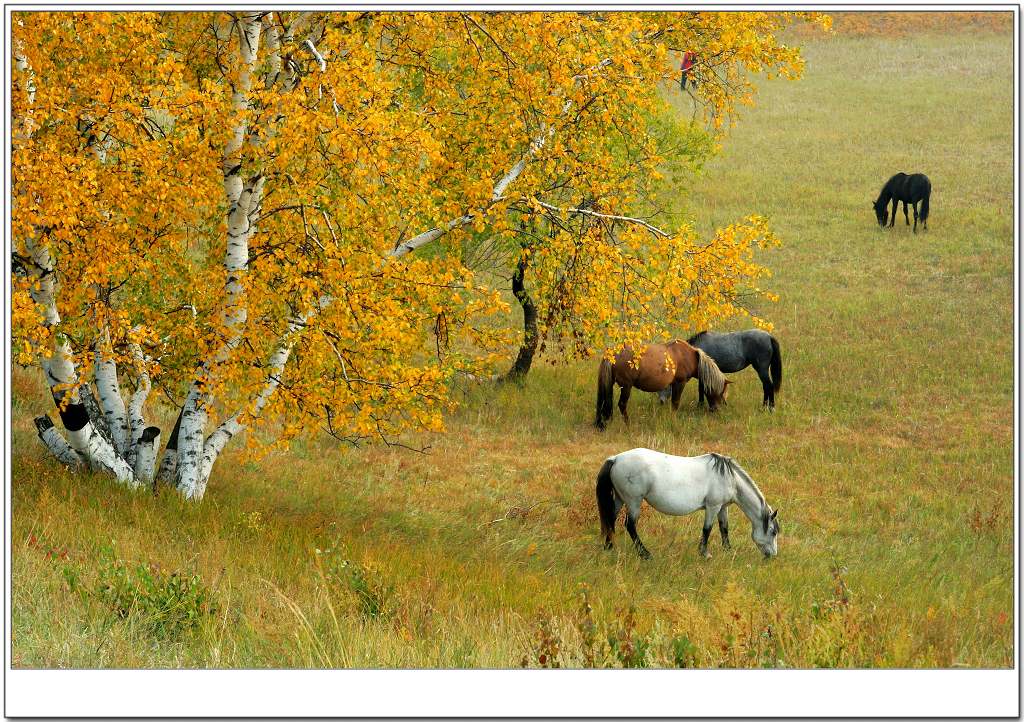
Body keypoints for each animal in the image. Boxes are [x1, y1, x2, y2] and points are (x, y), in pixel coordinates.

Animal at [593, 340, 729, 428]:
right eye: (721, 392)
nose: (716, 410)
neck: (689, 356)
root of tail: (613, 353)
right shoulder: (680, 383)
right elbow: (675, 403)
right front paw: (673, 420)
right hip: (626, 387)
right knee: (622, 405)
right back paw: (628, 424)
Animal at [598, 448, 778, 561]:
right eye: (773, 532)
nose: (772, 556)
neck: (729, 478)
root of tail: (615, 459)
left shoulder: (722, 507)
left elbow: (724, 528)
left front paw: (728, 551)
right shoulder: (713, 506)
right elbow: (707, 529)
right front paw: (705, 554)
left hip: (620, 499)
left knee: (610, 519)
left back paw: (609, 548)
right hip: (634, 501)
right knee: (630, 525)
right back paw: (645, 554)